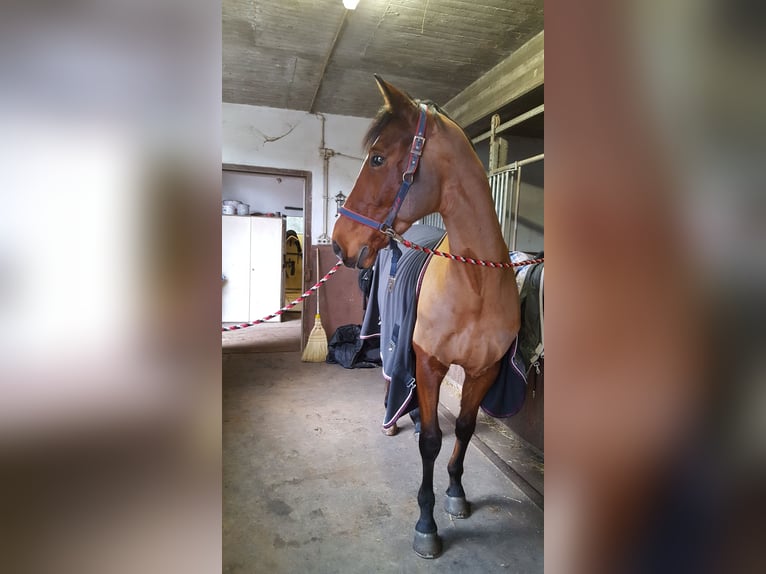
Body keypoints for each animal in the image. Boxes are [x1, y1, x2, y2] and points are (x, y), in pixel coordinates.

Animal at [334, 75, 520, 560]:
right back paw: (391, 420)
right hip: (394, 340)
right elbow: (431, 441)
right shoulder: (430, 363)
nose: (340, 243)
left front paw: (456, 493)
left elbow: (465, 430)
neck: (474, 283)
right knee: (389, 372)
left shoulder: (483, 371)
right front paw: (426, 523)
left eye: (378, 158)